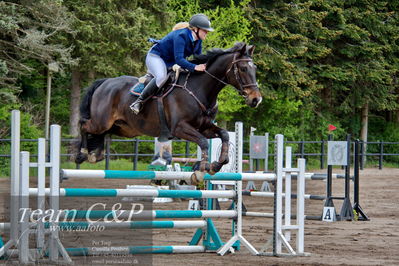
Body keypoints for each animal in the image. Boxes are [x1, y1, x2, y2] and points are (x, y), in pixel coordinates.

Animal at [74, 42, 262, 183]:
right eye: (243, 68)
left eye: (254, 69)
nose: (256, 99)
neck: (199, 88)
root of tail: (105, 82)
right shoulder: (180, 128)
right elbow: (203, 142)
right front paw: (200, 171)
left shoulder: (204, 127)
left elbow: (224, 135)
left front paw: (217, 165)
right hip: (101, 122)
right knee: (83, 124)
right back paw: (83, 153)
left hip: (122, 128)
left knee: (101, 133)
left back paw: (95, 154)